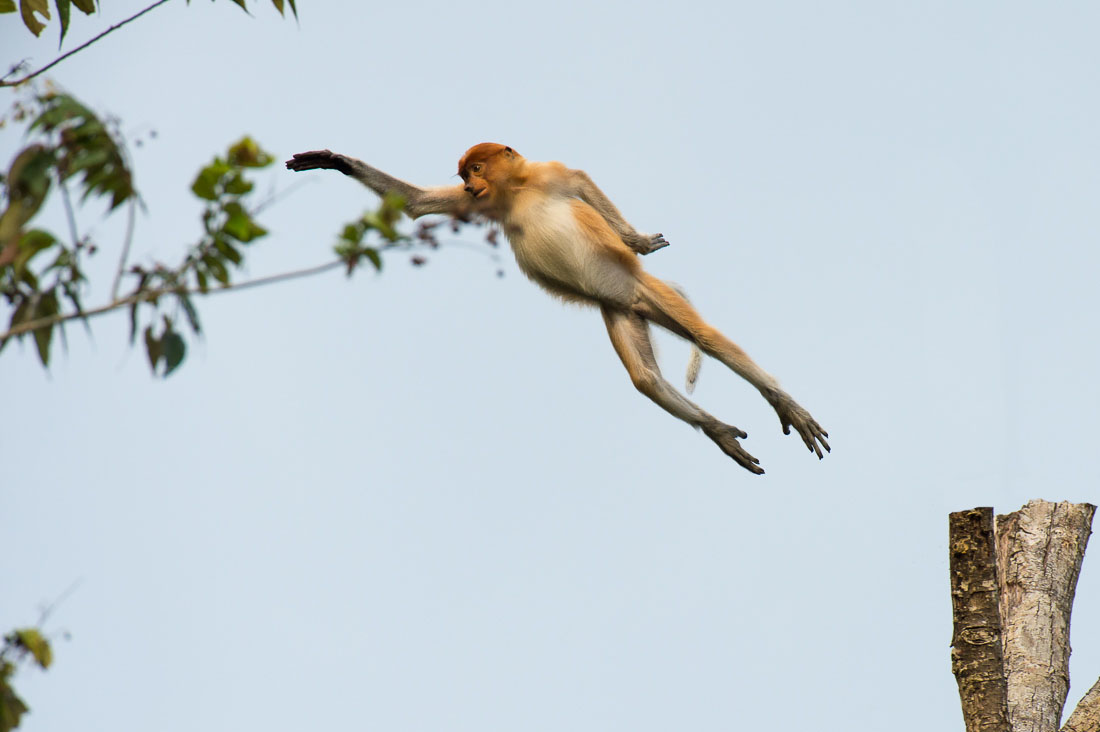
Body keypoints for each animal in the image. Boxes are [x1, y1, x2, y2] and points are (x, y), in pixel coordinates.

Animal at [288, 143, 827, 473]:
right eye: (465, 176)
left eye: (476, 168)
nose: (469, 185)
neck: (517, 191)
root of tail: (631, 295)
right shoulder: (483, 205)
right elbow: (418, 203)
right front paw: (331, 160)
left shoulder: (552, 173)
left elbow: (582, 180)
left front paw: (638, 241)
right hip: (621, 311)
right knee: (646, 380)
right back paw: (717, 431)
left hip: (645, 290)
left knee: (707, 338)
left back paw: (786, 406)